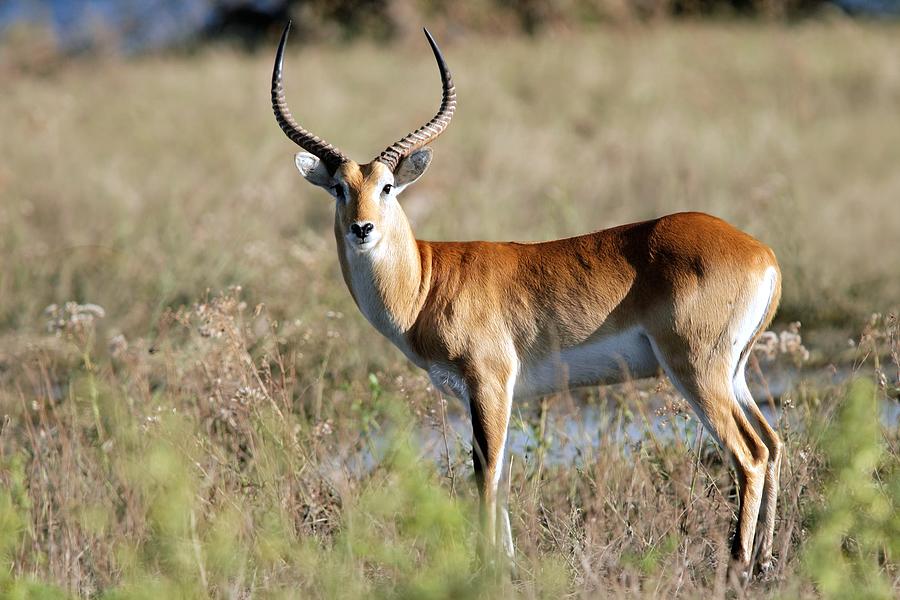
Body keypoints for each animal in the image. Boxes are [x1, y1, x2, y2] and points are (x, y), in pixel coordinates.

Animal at [270, 24, 784, 576]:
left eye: (387, 187)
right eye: (339, 189)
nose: (362, 228)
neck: (427, 281)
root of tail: (762, 253)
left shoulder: (489, 381)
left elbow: (485, 476)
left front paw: (486, 569)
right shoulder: (486, 394)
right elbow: (499, 477)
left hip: (696, 368)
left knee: (748, 454)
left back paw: (735, 566)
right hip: (734, 371)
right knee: (773, 443)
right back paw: (765, 562)